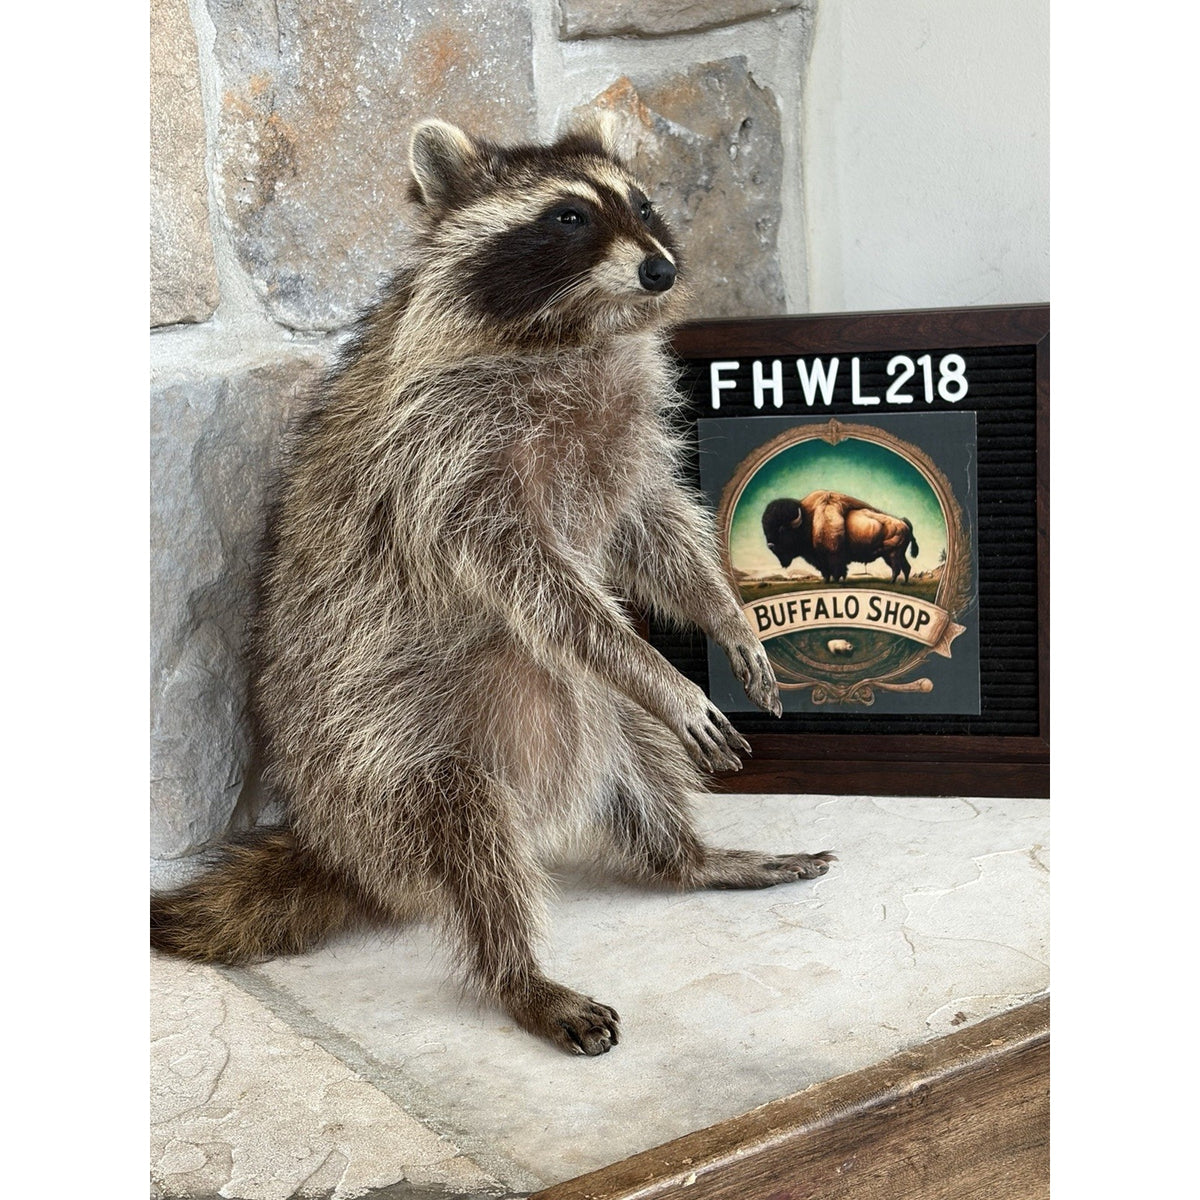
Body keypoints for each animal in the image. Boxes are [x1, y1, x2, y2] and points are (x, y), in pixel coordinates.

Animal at [151, 116, 834, 1056]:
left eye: (644, 204)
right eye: (569, 218)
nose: (661, 267)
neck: (578, 331)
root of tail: (336, 845)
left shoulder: (622, 437)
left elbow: (655, 528)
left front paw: (724, 613)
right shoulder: (444, 456)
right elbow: (546, 589)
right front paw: (658, 667)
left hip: (565, 725)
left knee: (635, 751)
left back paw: (687, 856)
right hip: (386, 754)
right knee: (471, 842)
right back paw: (521, 973)